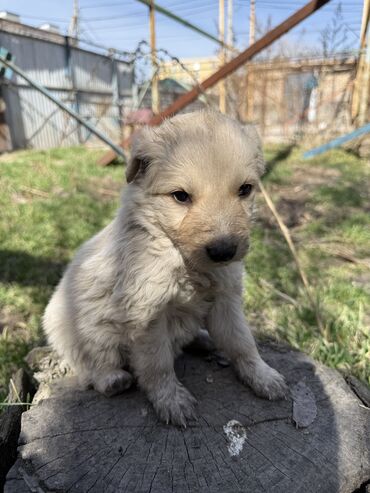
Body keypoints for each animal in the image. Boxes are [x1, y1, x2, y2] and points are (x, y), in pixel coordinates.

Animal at [42, 109, 286, 424]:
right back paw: (111, 379)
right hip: (66, 325)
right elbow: (157, 363)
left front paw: (263, 376)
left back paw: (202, 339)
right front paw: (171, 401)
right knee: (89, 363)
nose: (223, 251)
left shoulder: (226, 299)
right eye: (180, 196)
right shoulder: (147, 313)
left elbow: (243, 342)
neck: (180, 256)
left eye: (244, 190)